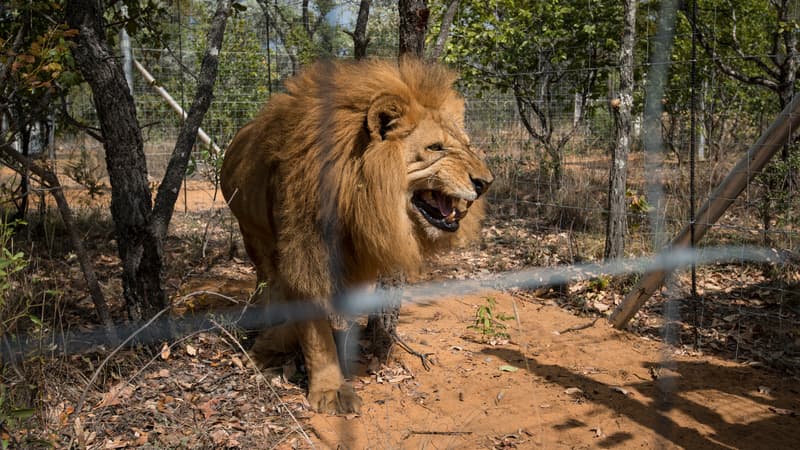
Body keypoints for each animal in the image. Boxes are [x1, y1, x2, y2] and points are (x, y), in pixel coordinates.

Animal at [220, 57, 494, 414]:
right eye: (436, 147)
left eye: (466, 145)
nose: (486, 182)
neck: (356, 200)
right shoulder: (305, 252)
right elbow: (315, 333)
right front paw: (330, 388)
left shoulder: (359, 258)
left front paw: (347, 349)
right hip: (252, 232)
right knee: (267, 282)